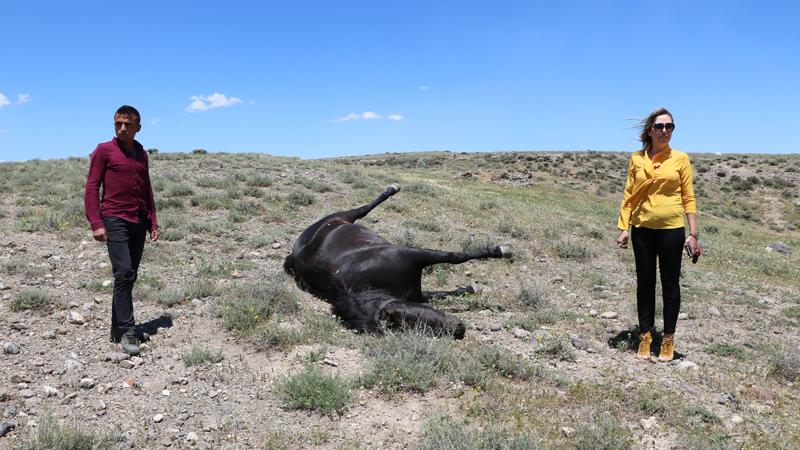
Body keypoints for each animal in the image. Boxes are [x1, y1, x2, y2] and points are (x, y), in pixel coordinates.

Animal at [282, 185, 512, 338]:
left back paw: (391, 189)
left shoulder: (414, 256)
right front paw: (472, 287)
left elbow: (455, 258)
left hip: (345, 216)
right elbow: (444, 288)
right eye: (415, 326)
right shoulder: (417, 289)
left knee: (364, 209)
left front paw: (501, 251)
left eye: (417, 316)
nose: (459, 329)